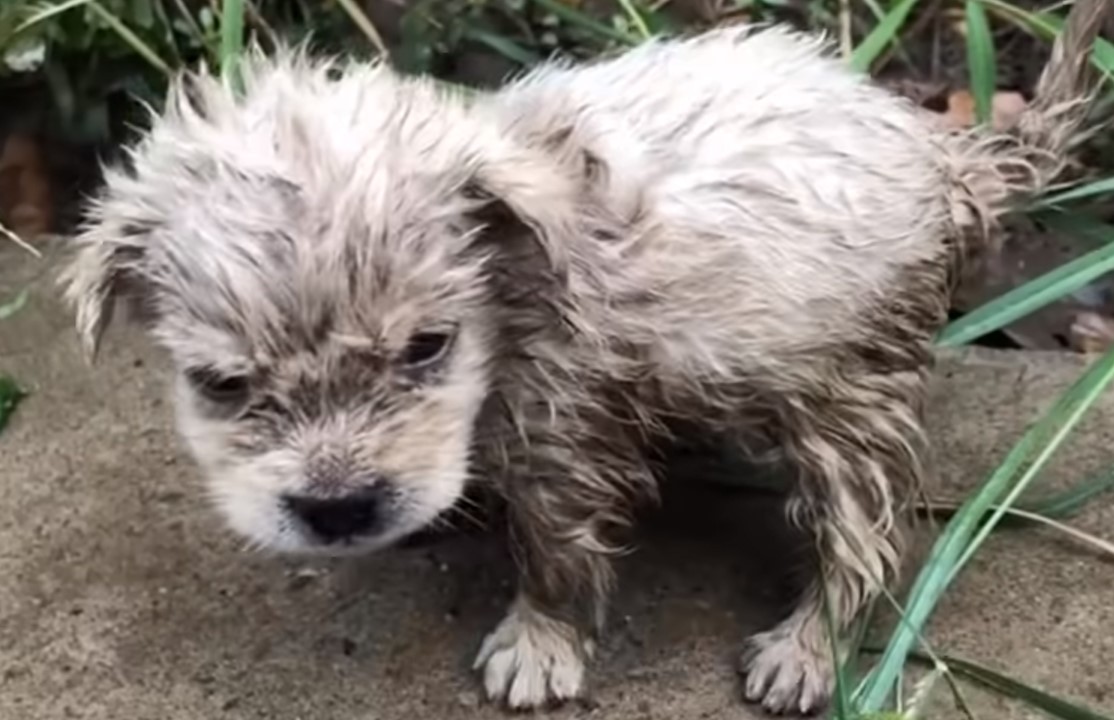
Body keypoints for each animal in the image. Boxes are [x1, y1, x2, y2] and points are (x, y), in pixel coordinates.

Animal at [63, 2, 1114, 717]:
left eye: (427, 348)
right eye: (221, 384)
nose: (339, 508)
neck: (514, 282)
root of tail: (945, 158)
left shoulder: (562, 431)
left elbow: (558, 549)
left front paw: (541, 640)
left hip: (853, 396)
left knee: (869, 537)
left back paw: (813, 646)